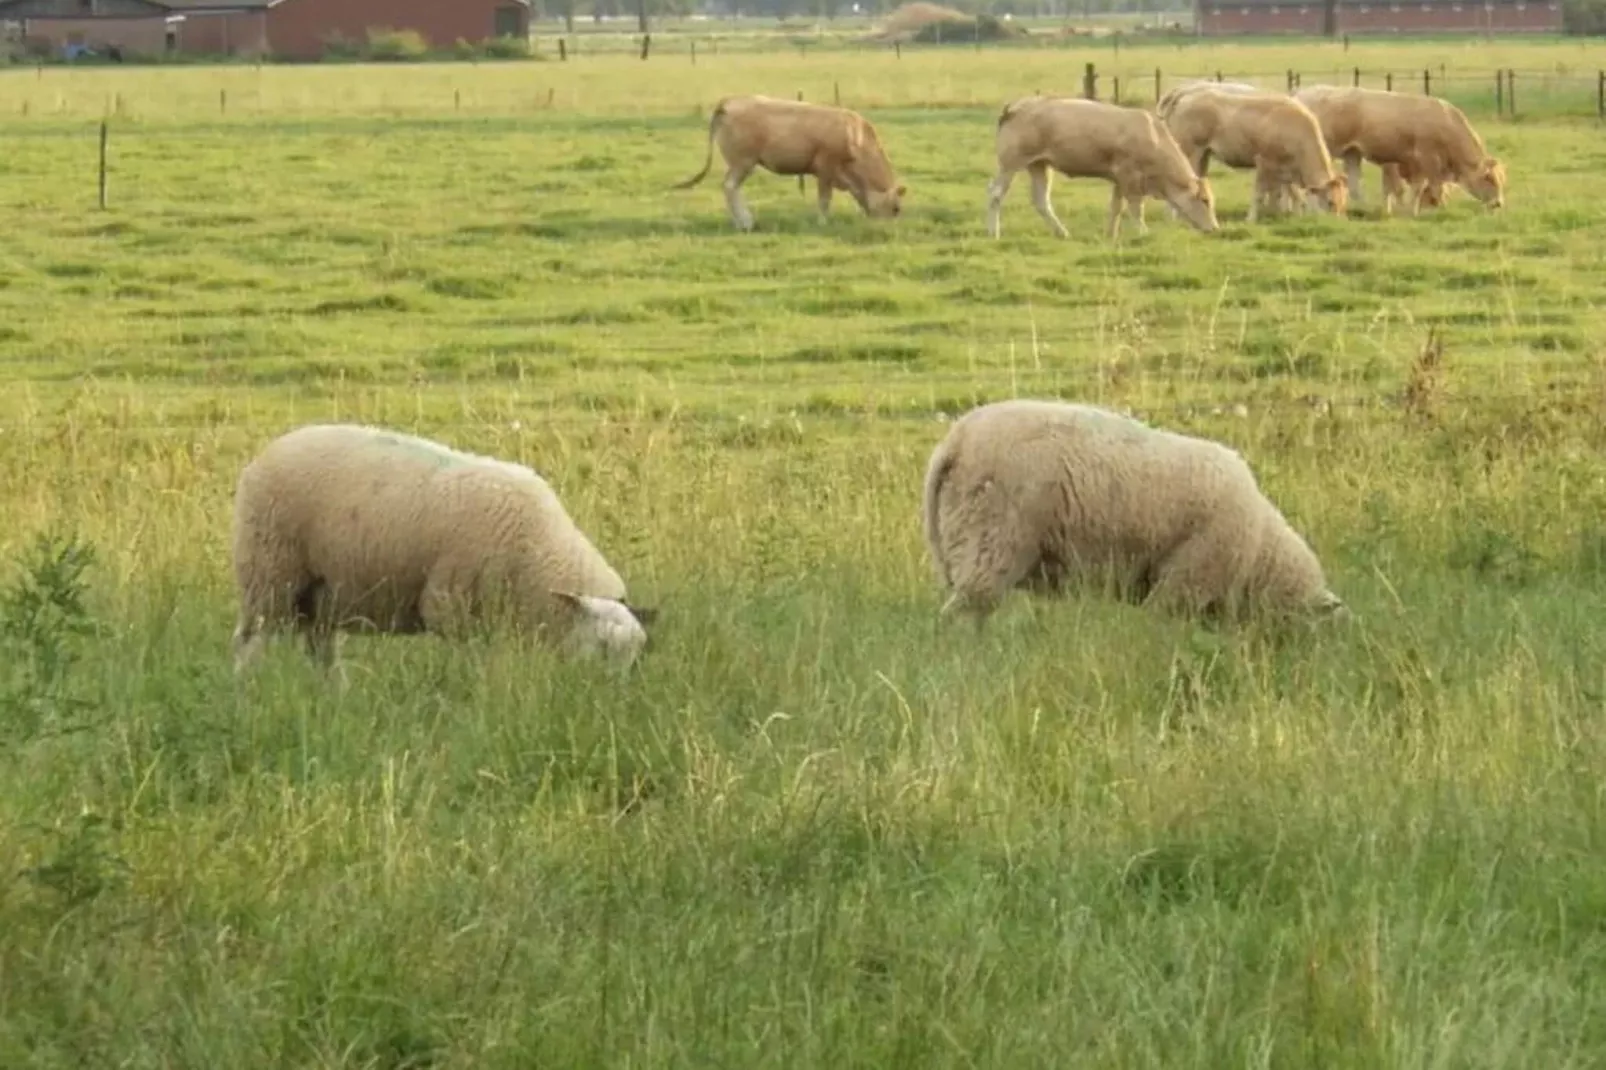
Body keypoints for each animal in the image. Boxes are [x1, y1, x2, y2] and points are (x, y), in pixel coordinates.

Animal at [230, 423, 656, 673]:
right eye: (602, 646)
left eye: (635, 656)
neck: (538, 554)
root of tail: (264, 454)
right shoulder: (449, 604)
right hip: (269, 574)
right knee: (249, 643)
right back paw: (246, 694)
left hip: (323, 593)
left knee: (321, 651)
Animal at [671, 94, 906, 232]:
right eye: (895, 209)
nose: (887, 228)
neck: (857, 138)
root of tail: (730, 102)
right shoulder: (826, 168)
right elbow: (824, 199)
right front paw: (822, 222)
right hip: (743, 162)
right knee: (730, 187)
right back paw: (745, 223)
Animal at [985, 95, 1218, 241]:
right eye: (1205, 200)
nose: (1215, 229)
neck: (1153, 137)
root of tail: (1016, 106)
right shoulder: (1129, 177)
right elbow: (1135, 207)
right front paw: (1143, 232)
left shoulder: (1118, 179)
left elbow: (1116, 207)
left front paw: (1111, 234)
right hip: (1010, 163)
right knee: (995, 194)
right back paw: (993, 233)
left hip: (1039, 165)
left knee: (1041, 201)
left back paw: (1062, 232)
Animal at [1161, 84, 1349, 222]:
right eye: (1331, 203)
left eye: (1343, 204)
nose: (1335, 223)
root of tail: (1186, 95)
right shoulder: (1264, 162)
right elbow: (1260, 193)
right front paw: (1251, 219)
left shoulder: (1286, 170)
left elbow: (1290, 193)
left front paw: (1285, 215)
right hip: (1190, 151)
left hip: (1203, 155)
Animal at [1292, 85, 1505, 215]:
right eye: (1488, 178)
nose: (1498, 204)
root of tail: (1303, 93)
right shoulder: (1426, 160)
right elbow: (1429, 188)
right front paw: (1432, 209)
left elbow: (1409, 188)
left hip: (1352, 154)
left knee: (1354, 185)